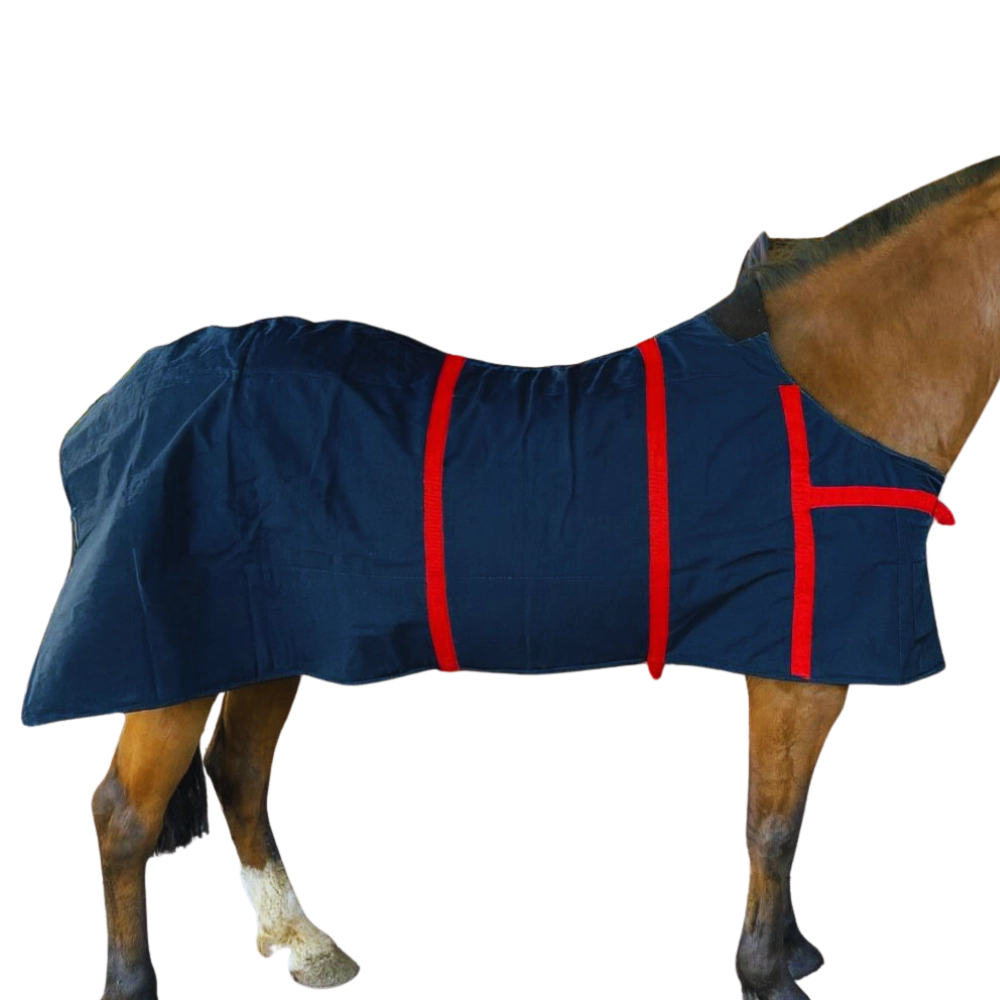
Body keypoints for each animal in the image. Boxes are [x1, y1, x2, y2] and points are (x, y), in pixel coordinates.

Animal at [26, 156, 998, 1000]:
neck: (834, 390)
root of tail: (116, 402)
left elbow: (780, 813)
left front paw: (786, 956)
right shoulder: (800, 661)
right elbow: (774, 819)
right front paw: (766, 972)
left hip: (267, 644)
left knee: (237, 778)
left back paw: (305, 947)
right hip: (168, 657)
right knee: (124, 817)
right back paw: (136, 983)